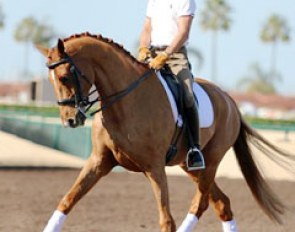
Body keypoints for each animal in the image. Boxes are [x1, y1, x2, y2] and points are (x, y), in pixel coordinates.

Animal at [38, 33, 294, 232]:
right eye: (51, 80)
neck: (125, 102)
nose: (70, 120)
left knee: (201, 204)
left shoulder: (154, 167)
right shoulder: (99, 161)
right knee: (222, 204)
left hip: (210, 162)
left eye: (64, 76)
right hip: (191, 167)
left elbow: (166, 219)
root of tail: (230, 100)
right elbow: (66, 201)